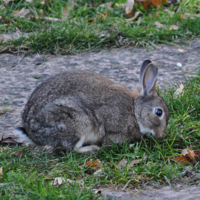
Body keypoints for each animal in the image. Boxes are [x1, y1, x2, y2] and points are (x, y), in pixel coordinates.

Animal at [14, 59, 169, 153]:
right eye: (158, 112)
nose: (160, 136)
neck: (134, 110)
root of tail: (32, 133)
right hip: (75, 123)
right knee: (71, 149)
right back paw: (92, 148)